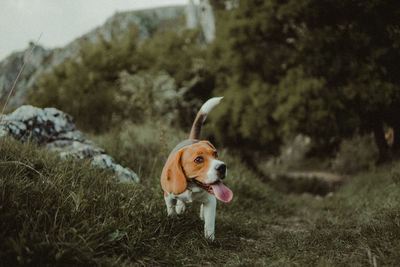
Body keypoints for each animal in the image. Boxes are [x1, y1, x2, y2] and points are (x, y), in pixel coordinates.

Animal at [161, 98, 233, 241]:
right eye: (198, 159)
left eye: (215, 153)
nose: (222, 167)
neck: (192, 187)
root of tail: (193, 139)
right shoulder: (168, 195)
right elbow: (170, 209)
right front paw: (173, 220)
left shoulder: (211, 201)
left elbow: (210, 222)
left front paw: (209, 239)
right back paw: (181, 207)